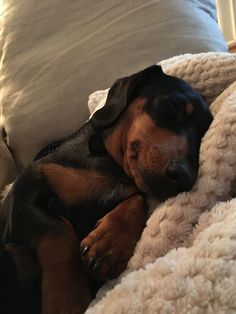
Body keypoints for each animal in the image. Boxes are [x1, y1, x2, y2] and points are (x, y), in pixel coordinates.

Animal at [0, 65, 212, 312]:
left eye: (201, 136)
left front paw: (110, 242)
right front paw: (67, 300)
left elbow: (138, 199)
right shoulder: (24, 196)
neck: (111, 167)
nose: (184, 176)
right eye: (173, 105)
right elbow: (61, 230)